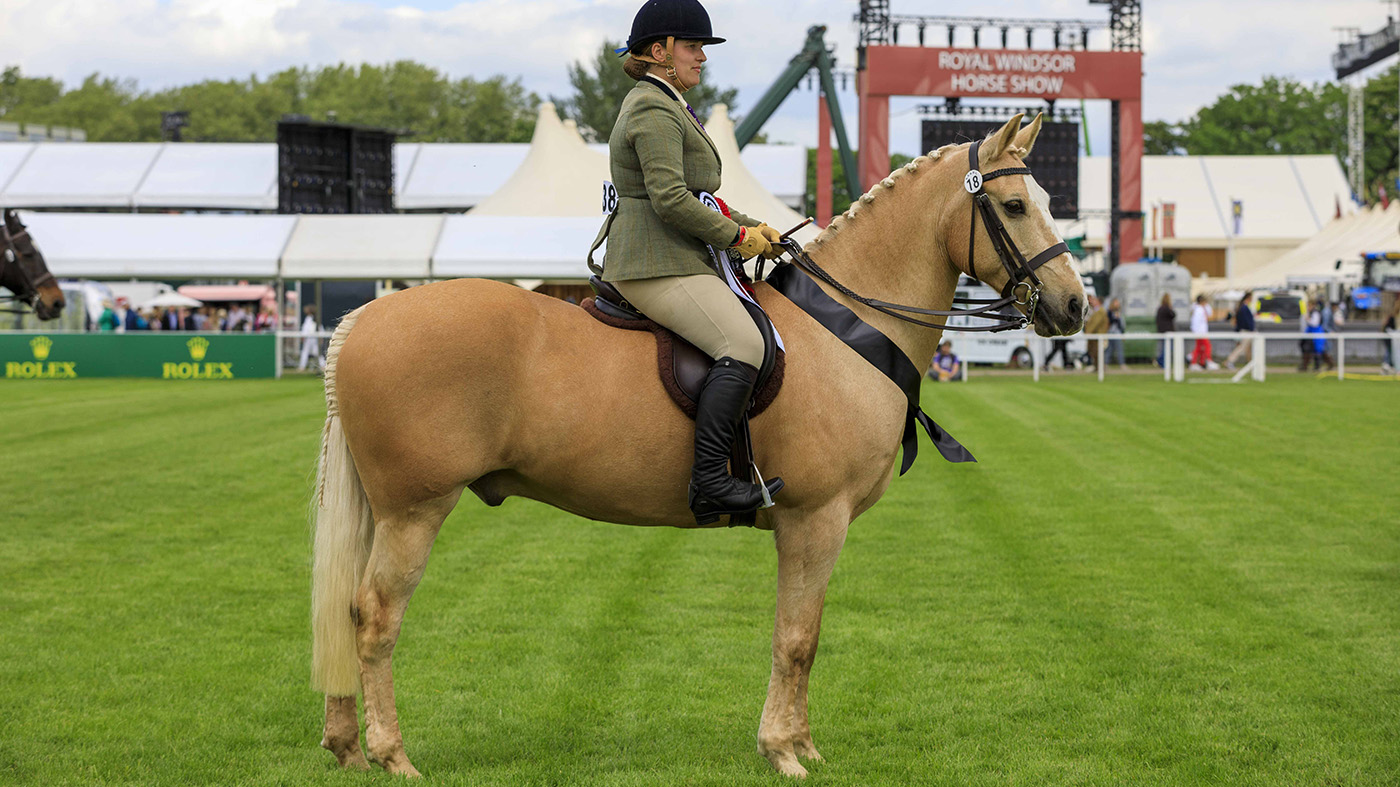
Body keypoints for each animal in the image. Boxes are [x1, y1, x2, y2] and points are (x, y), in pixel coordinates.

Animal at [309, 114, 1086, 779]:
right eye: (1015, 206)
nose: (1075, 305)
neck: (845, 325)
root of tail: (363, 317)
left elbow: (805, 635)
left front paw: (802, 743)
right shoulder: (815, 520)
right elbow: (796, 637)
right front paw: (784, 751)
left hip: (385, 513)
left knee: (347, 609)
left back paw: (346, 746)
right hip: (416, 512)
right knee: (374, 618)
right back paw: (392, 755)